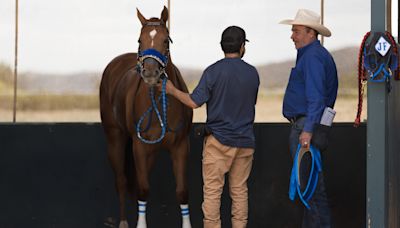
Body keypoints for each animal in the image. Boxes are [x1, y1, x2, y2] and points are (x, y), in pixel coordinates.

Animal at [101, 6, 193, 227]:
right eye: (139, 40)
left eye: (166, 40)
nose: (150, 73)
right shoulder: (140, 147)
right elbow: (143, 190)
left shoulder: (180, 147)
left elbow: (182, 192)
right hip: (115, 139)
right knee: (122, 181)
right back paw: (123, 221)